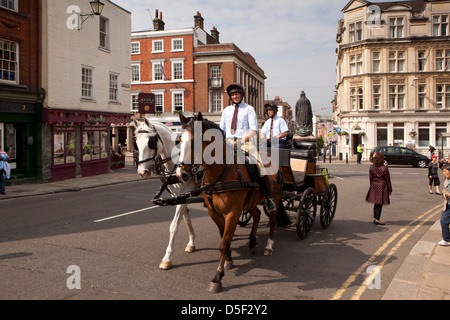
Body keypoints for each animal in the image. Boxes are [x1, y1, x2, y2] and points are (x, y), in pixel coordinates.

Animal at [133, 117, 198, 270]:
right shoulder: (180, 197)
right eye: (136, 143)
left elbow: (173, 226)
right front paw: (191, 243)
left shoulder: (184, 195)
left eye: (151, 142)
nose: (142, 172)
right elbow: (186, 219)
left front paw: (167, 258)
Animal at [176, 113, 288, 296]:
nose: (181, 174)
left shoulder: (233, 213)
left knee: (271, 221)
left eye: (195, 140)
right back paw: (252, 242)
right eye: (179, 139)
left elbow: (223, 243)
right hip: (251, 202)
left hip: (276, 199)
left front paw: (217, 278)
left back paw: (269, 246)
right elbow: (224, 238)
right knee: (257, 215)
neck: (221, 172)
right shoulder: (214, 212)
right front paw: (228, 260)